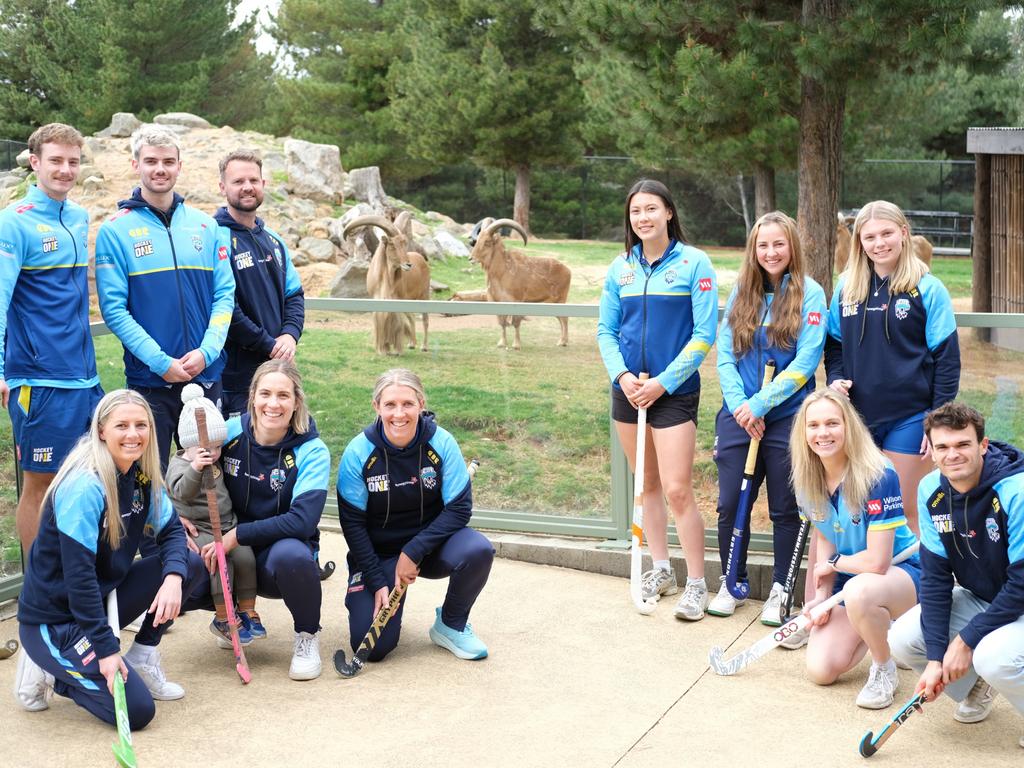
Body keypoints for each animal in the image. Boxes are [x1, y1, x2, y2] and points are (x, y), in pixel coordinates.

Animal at [339, 210, 428, 354]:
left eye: (404, 244)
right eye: (392, 244)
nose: (408, 265)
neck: (385, 280)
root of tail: (421, 259)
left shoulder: (397, 300)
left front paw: (396, 350)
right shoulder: (378, 299)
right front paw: (383, 349)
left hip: (424, 295)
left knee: (425, 320)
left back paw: (424, 346)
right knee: (412, 317)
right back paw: (411, 344)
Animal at [468, 217, 573, 348]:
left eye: (487, 241)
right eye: (477, 241)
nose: (471, 258)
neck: (502, 273)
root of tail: (568, 270)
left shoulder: (516, 301)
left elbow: (516, 323)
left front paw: (516, 345)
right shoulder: (496, 301)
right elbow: (502, 323)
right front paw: (502, 343)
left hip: (560, 300)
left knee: (564, 318)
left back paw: (562, 341)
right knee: (562, 318)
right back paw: (562, 341)